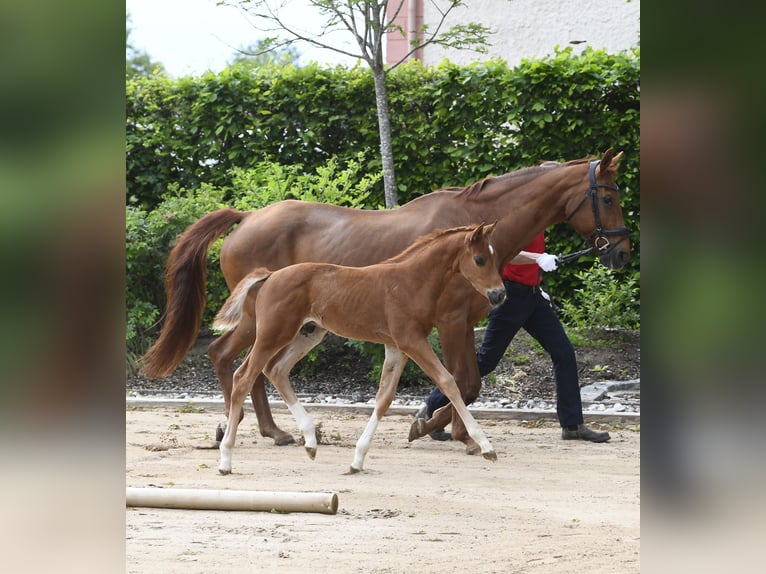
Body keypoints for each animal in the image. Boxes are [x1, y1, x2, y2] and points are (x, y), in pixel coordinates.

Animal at [214, 223, 505, 474]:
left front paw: (357, 459)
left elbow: (384, 397)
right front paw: (486, 447)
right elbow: (447, 381)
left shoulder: (396, 346)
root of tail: (271, 275)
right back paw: (226, 459)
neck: (412, 281)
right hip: (272, 333)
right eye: (480, 259)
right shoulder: (411, 340)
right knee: (244, 376)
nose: (499, 294)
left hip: (309, 333)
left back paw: (310, 442)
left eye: (494, 256)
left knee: (276, 369)